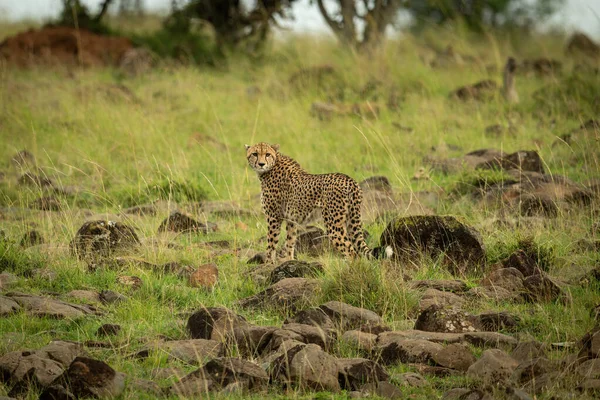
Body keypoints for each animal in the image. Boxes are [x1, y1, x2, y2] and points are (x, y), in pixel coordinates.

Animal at [246, 143, 392, 262]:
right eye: (255, 154)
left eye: (267, 154)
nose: (261, 164)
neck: (273, 165)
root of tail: (350, 180)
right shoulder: (291, 219)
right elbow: (290, 242)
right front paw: (289, 260)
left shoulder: (273, 217)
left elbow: (271, 243)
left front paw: (268, 263)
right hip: (351, 219)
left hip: (333, 224)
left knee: (351, 252)